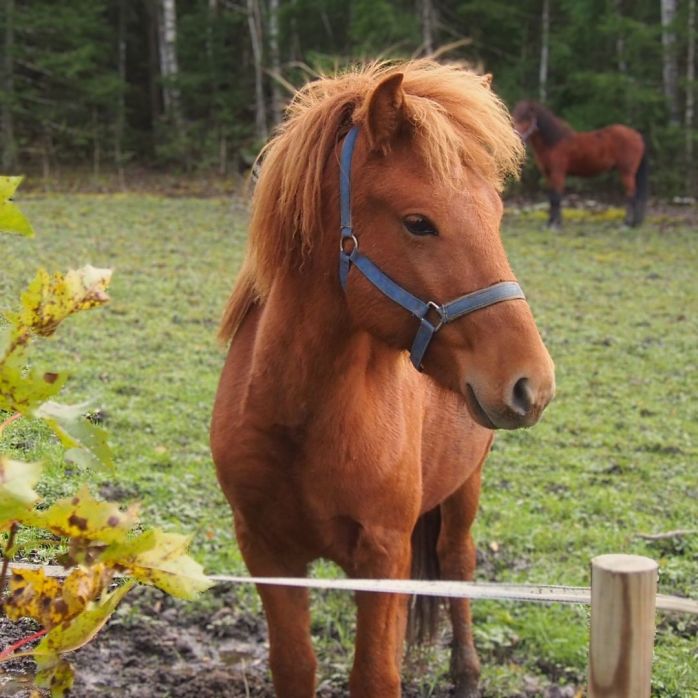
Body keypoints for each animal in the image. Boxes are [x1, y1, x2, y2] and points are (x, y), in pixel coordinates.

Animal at [211, 60, 555, 698]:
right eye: (419, 223)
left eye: (497, 216)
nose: (533, 384)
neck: (301, 416)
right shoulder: (266, 553)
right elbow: (294, 665)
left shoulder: (382, 556)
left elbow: (375, 673)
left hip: (465, 487)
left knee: (458, 562)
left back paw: (466, 672)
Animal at [512, 100, 648, 228]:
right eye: (516, 116)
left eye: (527, 118)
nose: (517, 137)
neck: (554, 142)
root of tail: (637, 135)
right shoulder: (548, 175)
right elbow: (551, 198)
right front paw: (549, 223)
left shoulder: (558, 173)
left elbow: (557, 197)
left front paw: (556, 225)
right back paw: (635, 223)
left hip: (626, 173)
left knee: (631, 196)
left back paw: (627, 224)